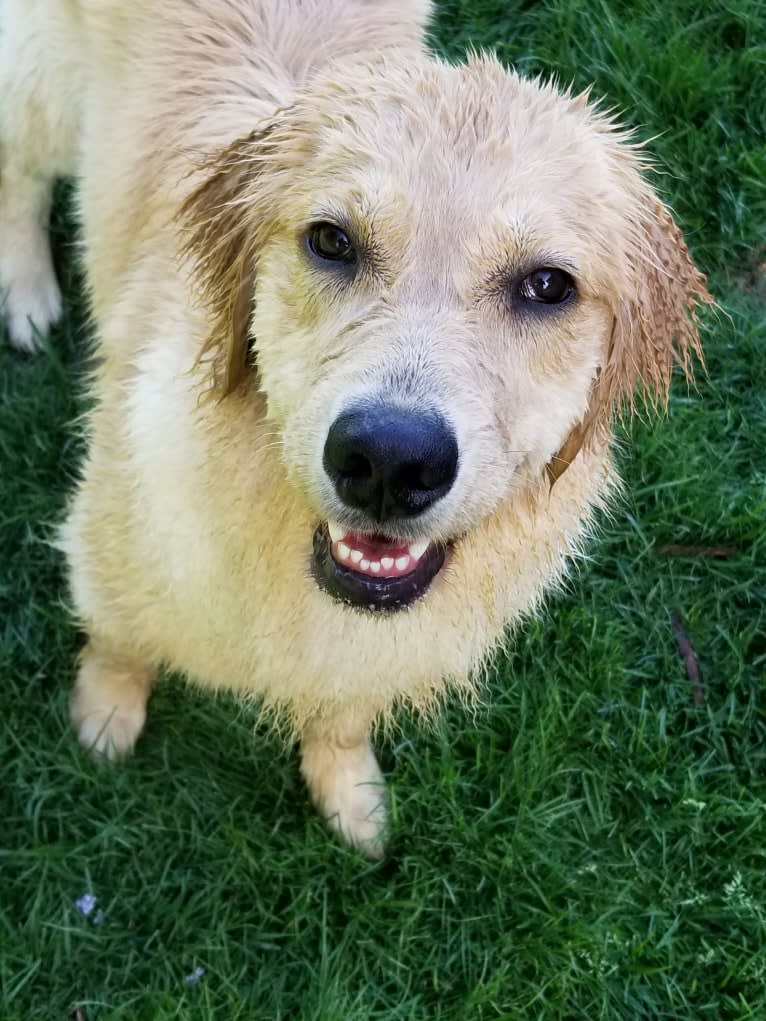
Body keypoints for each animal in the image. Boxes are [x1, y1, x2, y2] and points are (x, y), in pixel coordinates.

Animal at [0, 0, 710, 853]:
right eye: (332, 241)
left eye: (547, 285)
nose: (388, 463)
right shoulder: (109, 543)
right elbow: (121, 640)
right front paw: (104, 716)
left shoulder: (373, 647)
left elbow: (342, 713)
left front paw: (351, 794)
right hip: (39, 79)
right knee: (18, 168)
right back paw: (26, 289)